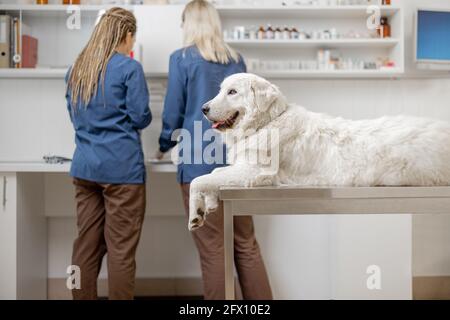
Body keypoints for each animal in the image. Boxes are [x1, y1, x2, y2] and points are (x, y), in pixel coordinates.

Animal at [188, 73, 450, 230]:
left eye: (232, 92)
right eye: (221, 90)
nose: (203, 108)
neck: (268, 123)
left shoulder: (254, 172)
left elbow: (198, 180)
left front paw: (196, 212)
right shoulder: (240, 168)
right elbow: (212, 176)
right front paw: (206, 206)